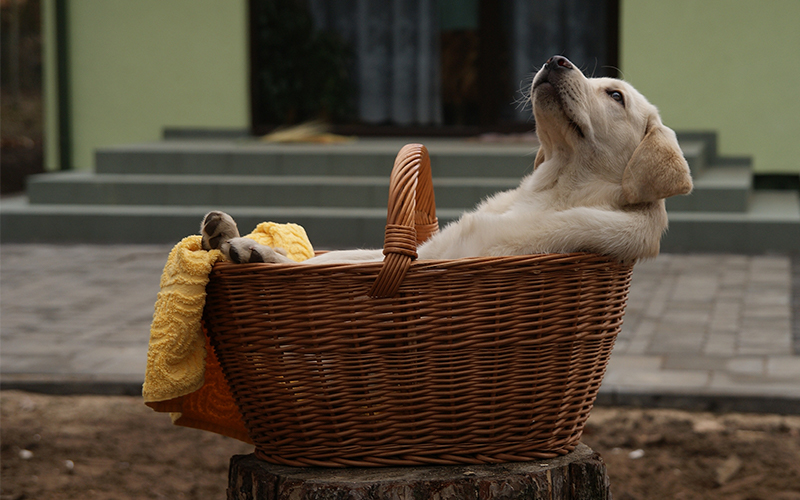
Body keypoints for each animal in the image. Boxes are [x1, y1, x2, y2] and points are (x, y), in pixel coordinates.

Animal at [202, 54, 692, 266]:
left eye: (616, 96)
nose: (557, 59)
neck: (551, 189)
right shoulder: (424, 250)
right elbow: (329, 260)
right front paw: (246, 243)